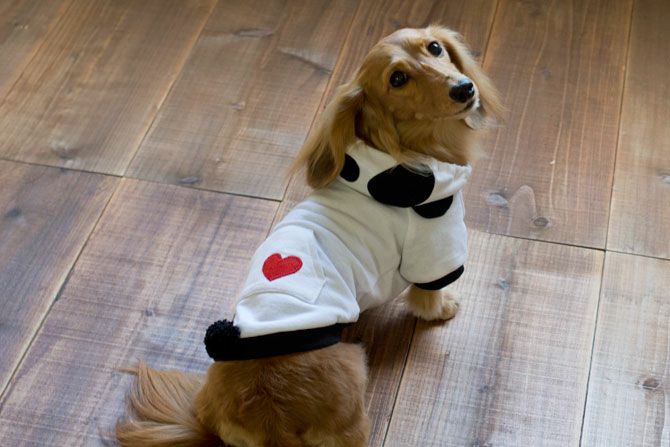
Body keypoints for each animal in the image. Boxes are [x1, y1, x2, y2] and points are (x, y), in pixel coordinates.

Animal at [116, 25, 502, 447]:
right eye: (397, 79)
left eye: (434, 48)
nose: (464, 88)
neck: (398, 156)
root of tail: (272, 419)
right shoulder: (435, 246)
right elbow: (427, 295)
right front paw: (443, 307)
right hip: (353, 369)